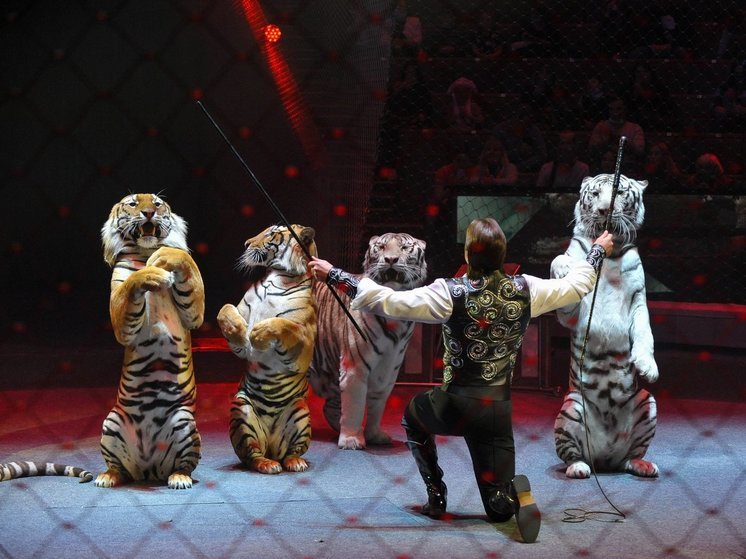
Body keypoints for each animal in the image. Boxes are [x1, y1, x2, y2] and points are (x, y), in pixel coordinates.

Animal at [98, 193, 204, 489]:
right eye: (133, 204)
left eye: (157, 203)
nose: (148, 213)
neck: (145, 252)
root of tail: (147, 469)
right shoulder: (121, 320)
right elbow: (132, 282)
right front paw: (150, 274)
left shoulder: (195, 314)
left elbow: (185, 261)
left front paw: (165, 257)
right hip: (112, 421)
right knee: (118, 468)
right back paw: (106, 477)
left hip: (184, 420)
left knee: (184, 465)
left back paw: (179, 478)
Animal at [217, 224, 318, 474]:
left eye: (272, 233)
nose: (245, 244)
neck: (277, 277)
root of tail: (272, 448)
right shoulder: (238, 309)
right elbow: (225, 309)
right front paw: (241, 333)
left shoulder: (304, 345)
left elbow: (284, 325)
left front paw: (257, 334)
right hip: (241, 408)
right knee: (252, 455)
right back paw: (268, 464)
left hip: (300, 409)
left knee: (291, 453)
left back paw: (295, 463)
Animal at [308, 232, 427, 450]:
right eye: (381, 247)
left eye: (405, 248)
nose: (391, 259)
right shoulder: (354, 367)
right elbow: (355, 405)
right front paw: (351, 440)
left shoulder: (387, 370)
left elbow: (377, 404)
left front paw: (373, 435)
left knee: (330, 406)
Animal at [550, 174, 659, 479]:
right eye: (595, 193)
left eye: (619, 192)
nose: (602, 211)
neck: (610, 254)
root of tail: (604, 457)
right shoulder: (571, 312)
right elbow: (560, 261)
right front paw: (565, 269)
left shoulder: (638, 299)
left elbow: (645, 333)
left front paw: (648, 366)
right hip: (572, 406)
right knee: (571, 454)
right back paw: (578, 467)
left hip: (647, 401)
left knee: (629, 458)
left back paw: (642, 465)